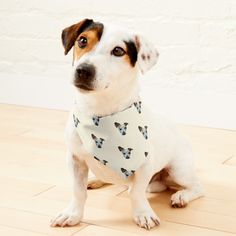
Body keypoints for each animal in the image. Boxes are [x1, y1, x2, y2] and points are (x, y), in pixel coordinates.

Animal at [50, 18, 204, 230]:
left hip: (179, 170)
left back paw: (181, 196)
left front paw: (143, 214)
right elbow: (78, 191)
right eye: (82, 40)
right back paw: (95, 180)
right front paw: (72, 214)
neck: (100, 113)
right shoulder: (75, 159)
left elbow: (137, 192)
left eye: (118, 51)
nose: (83, 70)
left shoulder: (145, 165)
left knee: (196, 187)